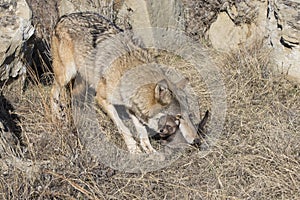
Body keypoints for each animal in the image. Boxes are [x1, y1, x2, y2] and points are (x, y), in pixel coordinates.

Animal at [51, 11, 200, 154]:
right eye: (178, 117)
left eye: (188, 114)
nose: (197, 139)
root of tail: (64, 17)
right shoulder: (102, 99)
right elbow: (123, 128)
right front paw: (134, 149)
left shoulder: (132, 107)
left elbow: (142, 131)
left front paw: (149, 151)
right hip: (67, 74)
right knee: (53, 92)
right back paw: (57, 118)